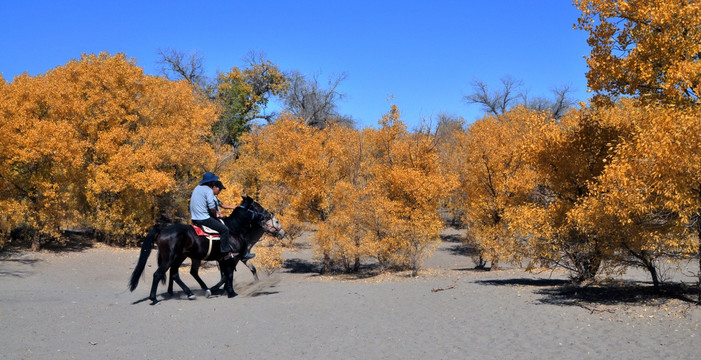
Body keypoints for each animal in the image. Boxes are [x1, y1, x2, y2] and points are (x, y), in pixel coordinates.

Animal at [129, 195, 282, 306]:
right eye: (257, 205)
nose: (269, 214)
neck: (233, 228)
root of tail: (162, 229)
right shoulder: (231, 258)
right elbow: (228, 275)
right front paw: (228, 292)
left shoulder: (223, 260)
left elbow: (226, 275)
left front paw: (223, 290)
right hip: (170, 258)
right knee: (158, 274)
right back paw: (154, 299)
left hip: (180, 257)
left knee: (175, 274)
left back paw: (190, 293)